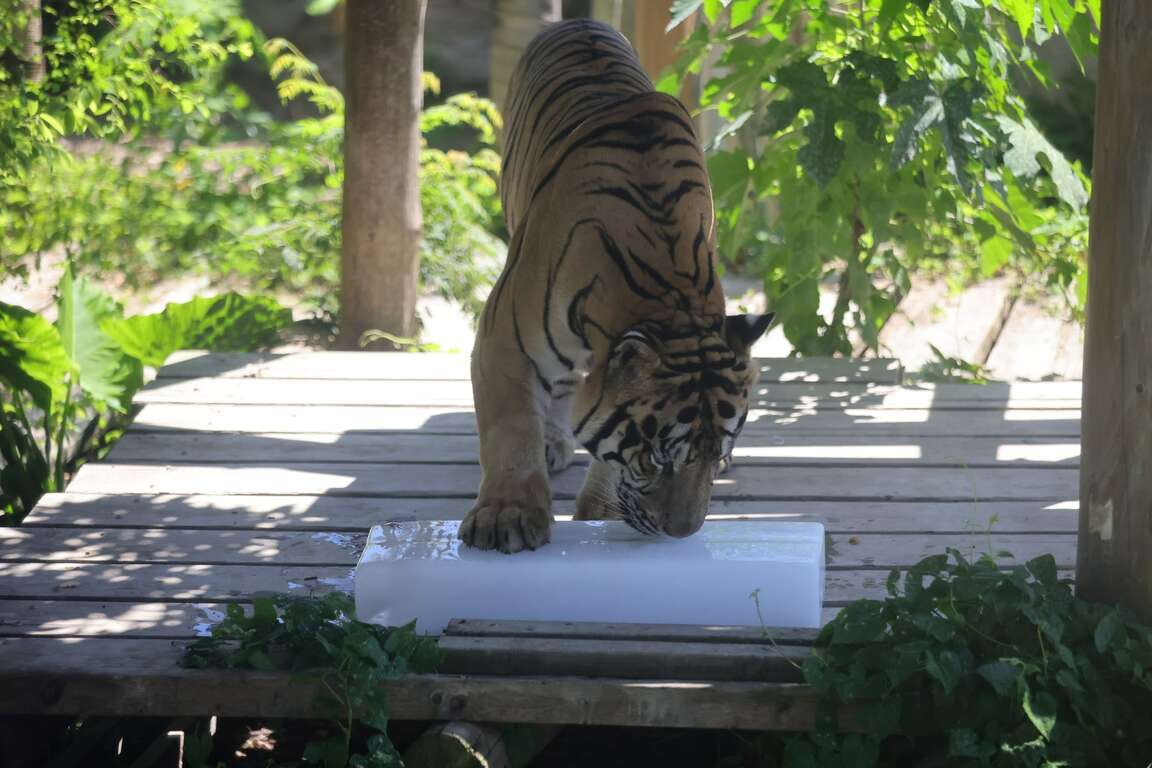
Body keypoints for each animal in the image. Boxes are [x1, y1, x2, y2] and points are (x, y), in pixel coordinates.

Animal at [460, 18, 774, 553]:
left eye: (713, 456)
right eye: (657, 459)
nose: (682, 532)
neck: (671, 295)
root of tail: (578, 20)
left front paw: (600, 510)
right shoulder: (504, 339)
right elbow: (511, 430)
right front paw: (507, 516)